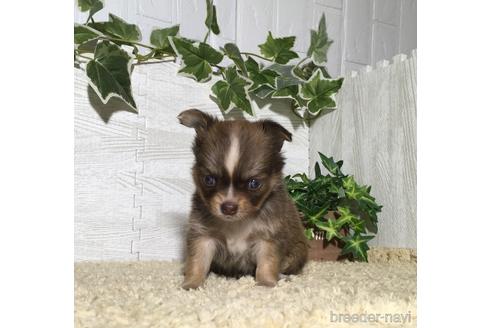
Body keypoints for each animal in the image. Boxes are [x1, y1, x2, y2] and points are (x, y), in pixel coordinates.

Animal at [177, 109, 308, 290]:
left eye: (254, 183)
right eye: (209, 180)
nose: (228, 207)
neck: (237, 223)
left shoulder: (268, 238)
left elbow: (267, 263)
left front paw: (266, 283)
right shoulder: (203, 236)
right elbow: (197, 262)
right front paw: (191, 284)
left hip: (296, 254)